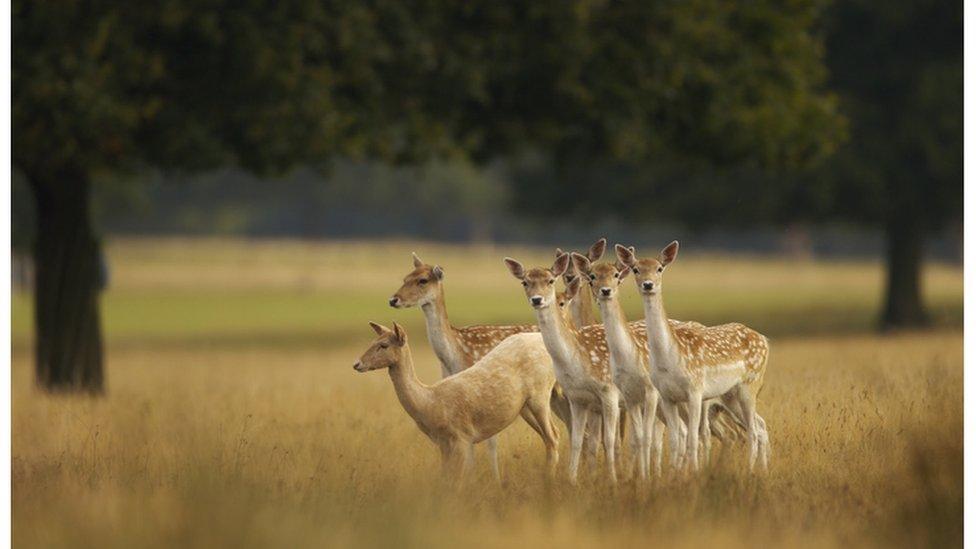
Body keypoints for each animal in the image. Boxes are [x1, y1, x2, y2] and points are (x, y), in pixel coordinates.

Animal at [356, 324, 560, 482]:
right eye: (372, 342)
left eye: (383, 345)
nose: (357, 364)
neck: (430, 403)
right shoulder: (443, 443)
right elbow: (446, 478)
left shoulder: (462, 436)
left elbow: (457, 482)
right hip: (524, 407)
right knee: (550, 436)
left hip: (540, 394)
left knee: (553, 436)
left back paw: (548, 481)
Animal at [616, 241, 772, 470]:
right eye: (636, 269)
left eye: (659, 268)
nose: (648, 285)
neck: (670, 358)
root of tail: (764, 339)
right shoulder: (667, 396)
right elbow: (675, 439)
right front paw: (676, 473)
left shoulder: (695, 389)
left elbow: (692, 438)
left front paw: (695, 473)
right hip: (730, 394)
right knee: (759, 426)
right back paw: (763, 469)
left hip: (750, 384)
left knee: (753, 430)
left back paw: (750, 470)